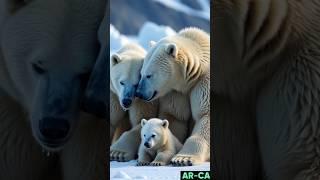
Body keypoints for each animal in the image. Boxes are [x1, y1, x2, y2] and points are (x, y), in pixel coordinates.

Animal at [135, 27, 210, 166]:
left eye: (149, 75)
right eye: (141, 74)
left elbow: (205, 115)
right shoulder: (175, 92)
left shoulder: (203, 83)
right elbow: (175, 116)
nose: (139, 93)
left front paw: (183, 159)